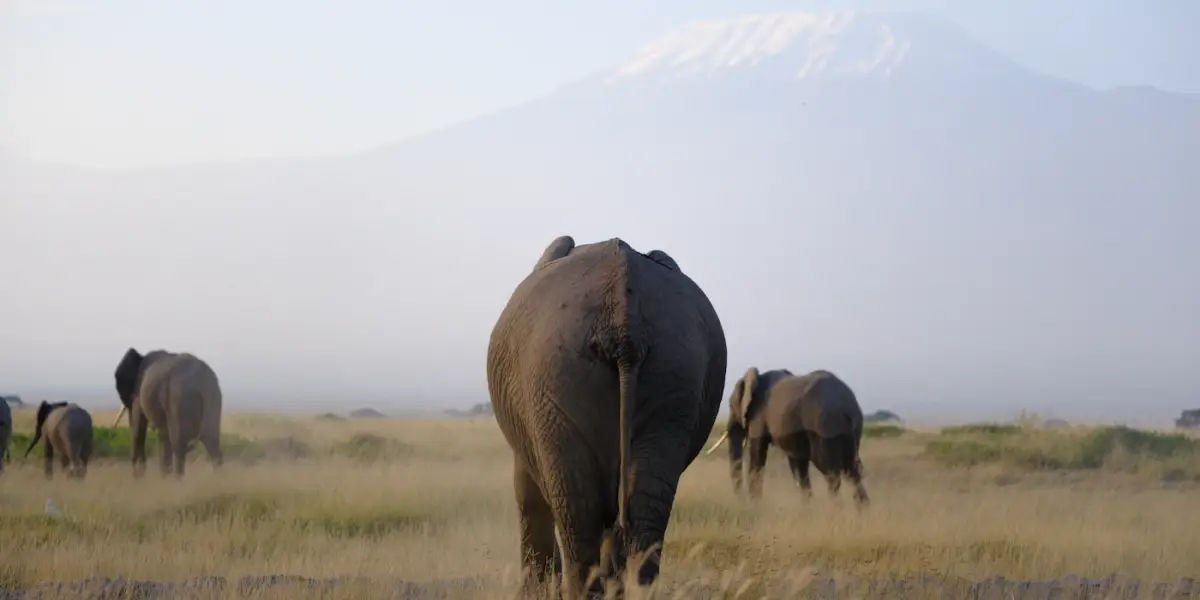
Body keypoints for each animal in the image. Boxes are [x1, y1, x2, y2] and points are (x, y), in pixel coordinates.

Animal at [113, 347, 223, 479]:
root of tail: (201, 383)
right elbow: (163, 435)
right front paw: (162, 477)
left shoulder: (138, 392)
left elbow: (138, 428)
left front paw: (138, 478)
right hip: (213, 398)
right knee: (212, 442)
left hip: (180, 398)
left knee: (179, 444)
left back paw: (177, 481)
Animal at [486, 236, 728, 599]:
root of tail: (625, 323)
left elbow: (527, 494)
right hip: (676, 371)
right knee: (642, 512)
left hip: (552, 376)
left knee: (580, 517)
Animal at [707, 367, 868, 506]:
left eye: (730, 405)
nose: (740, 501)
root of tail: (847, 405)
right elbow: (798, 465)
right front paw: (806, 509)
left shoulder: (758, 415)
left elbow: (757, 455)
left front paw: (754, 505)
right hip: (849, 429)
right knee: (851, 471)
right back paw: (862, 512)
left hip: (824, 425)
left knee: (830, 471)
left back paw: (836, 511)